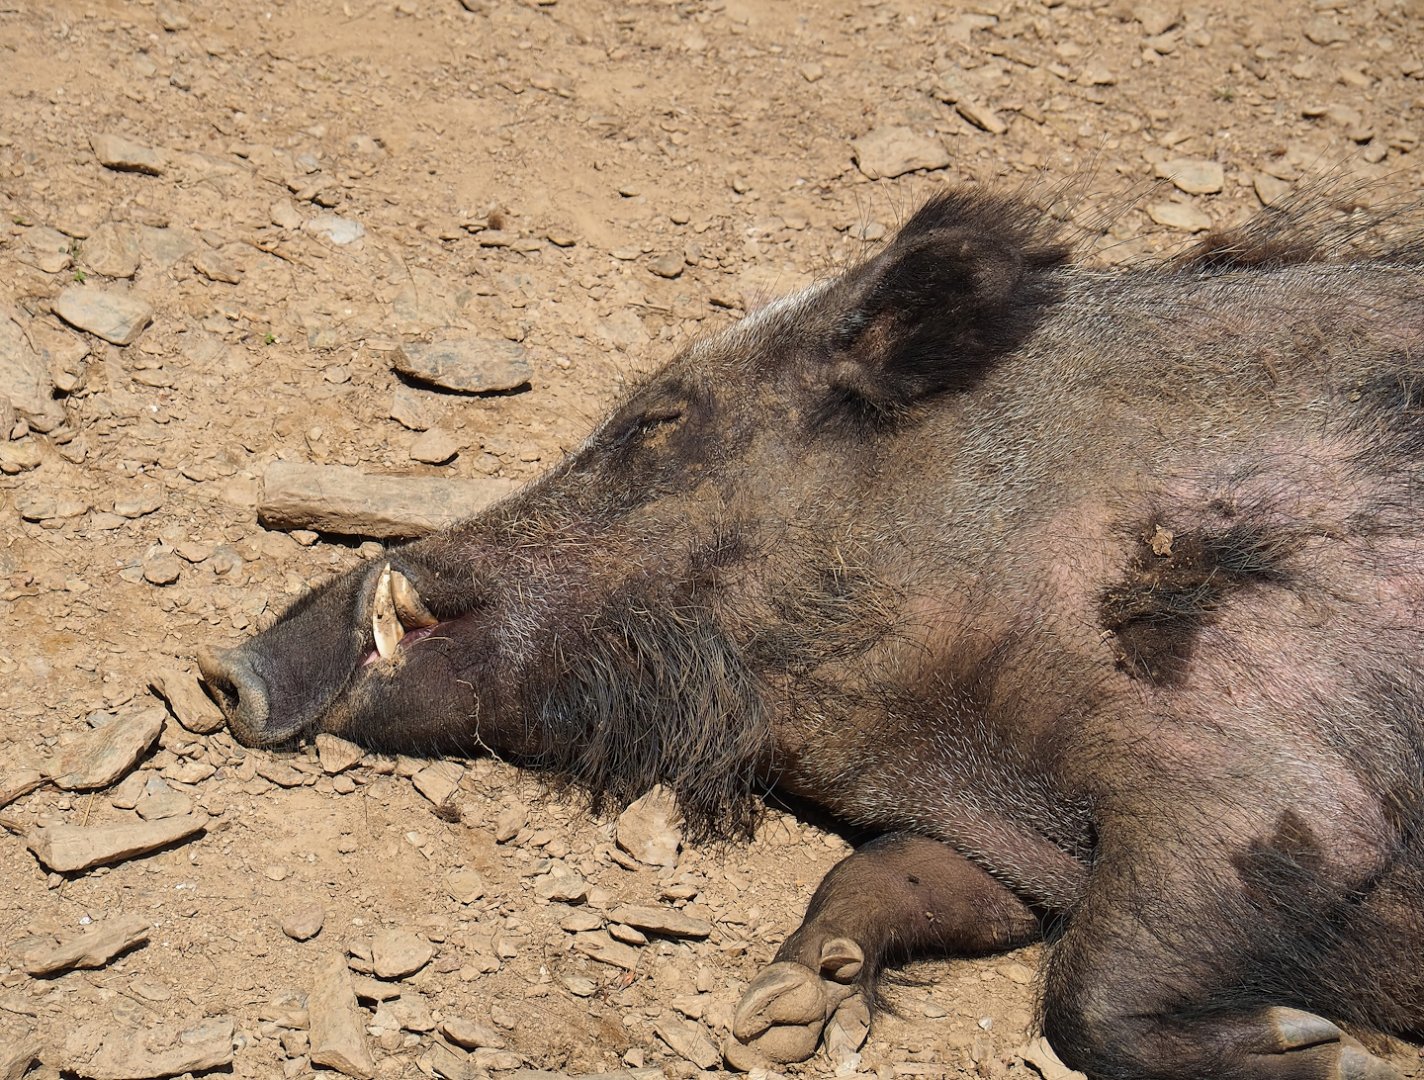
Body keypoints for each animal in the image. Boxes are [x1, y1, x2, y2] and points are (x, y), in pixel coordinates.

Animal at [200, 187, 1424, 1080]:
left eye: (655, 423)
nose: (226, 669)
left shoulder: (1267, 779)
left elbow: (1092, 993)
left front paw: (1329, 1054)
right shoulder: (1003, 849)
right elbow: (887, 879)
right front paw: (784, 1005)